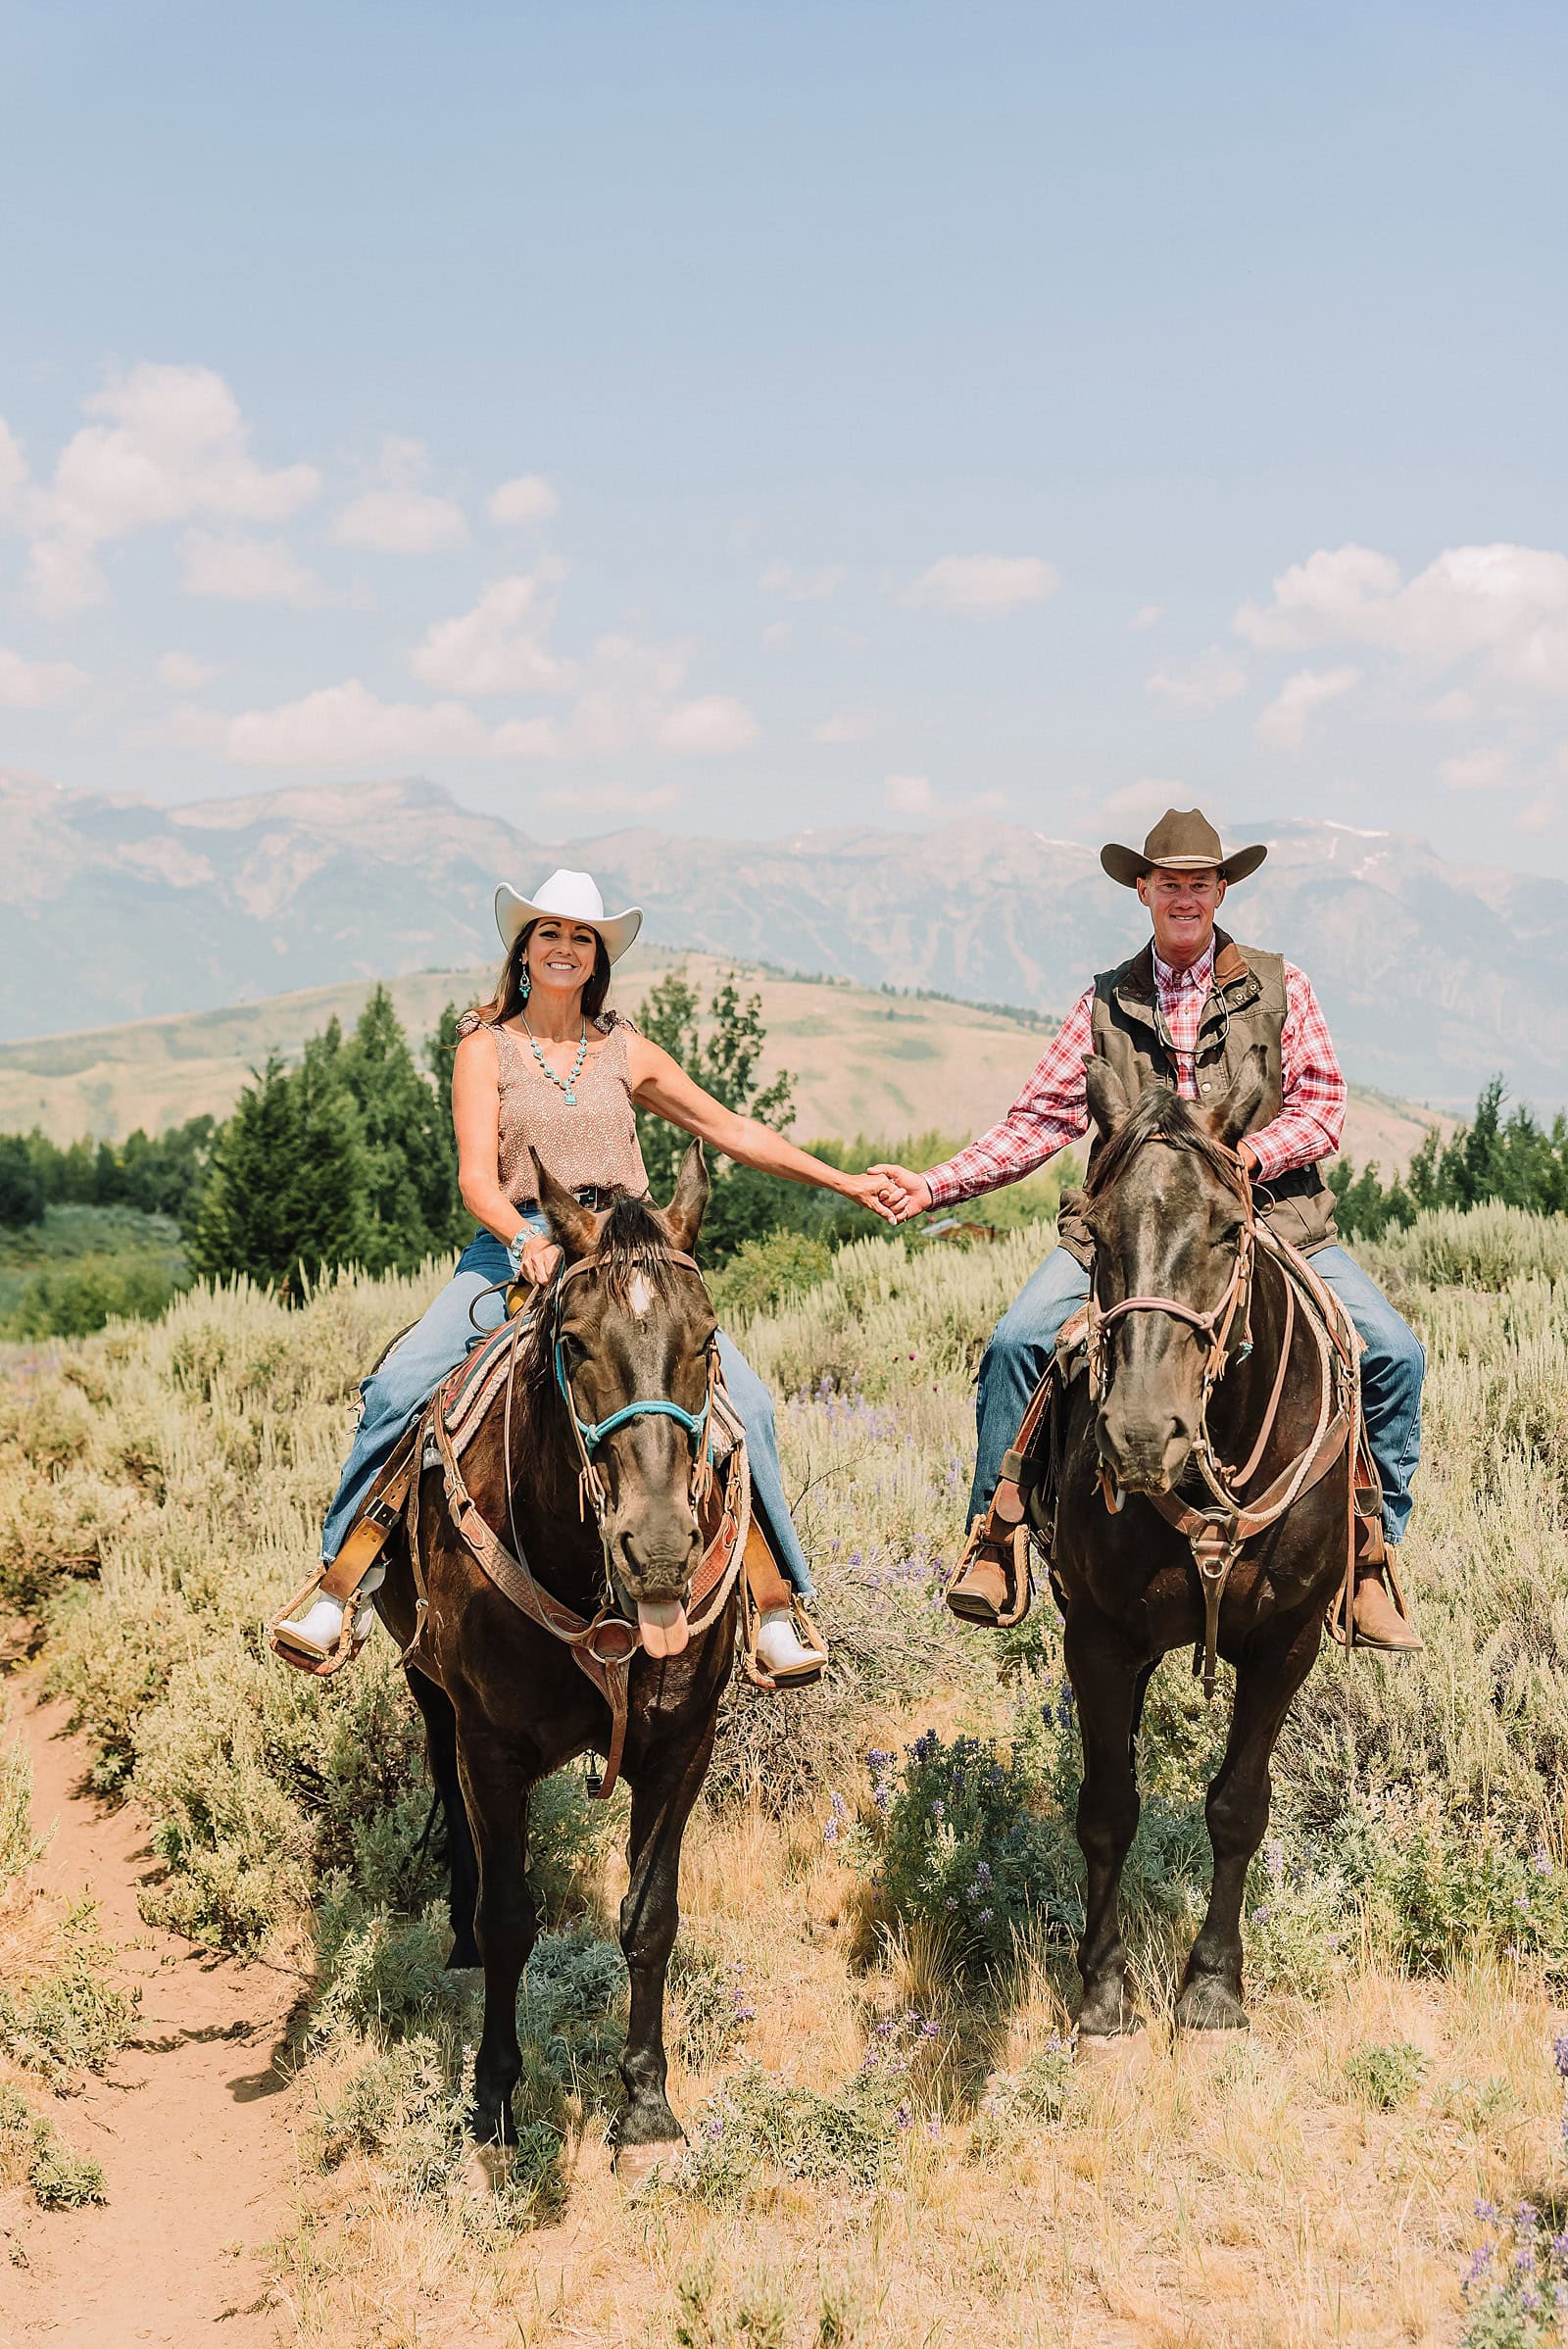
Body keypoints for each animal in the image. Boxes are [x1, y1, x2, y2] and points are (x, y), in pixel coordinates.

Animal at [372, 1146, 737, 2170]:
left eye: (707, 1340)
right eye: (574, 1343)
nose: (659, 1551)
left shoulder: (684, 1743)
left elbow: (650, 1918)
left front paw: (646, 2106)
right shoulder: (492, 1744)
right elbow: (508, 1919)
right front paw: (492, 2099)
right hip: (428, 1689)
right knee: (448, 1796)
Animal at [1060, 1052, 1351, 2038]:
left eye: (1230, 1230)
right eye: (1096, 1229)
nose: (1143, 1435)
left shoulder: (1287, 1641)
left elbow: (1237, 1806)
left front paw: (1216, 1982)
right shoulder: (1099, 1636)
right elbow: (1108, 1806)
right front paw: (1103, 1982)